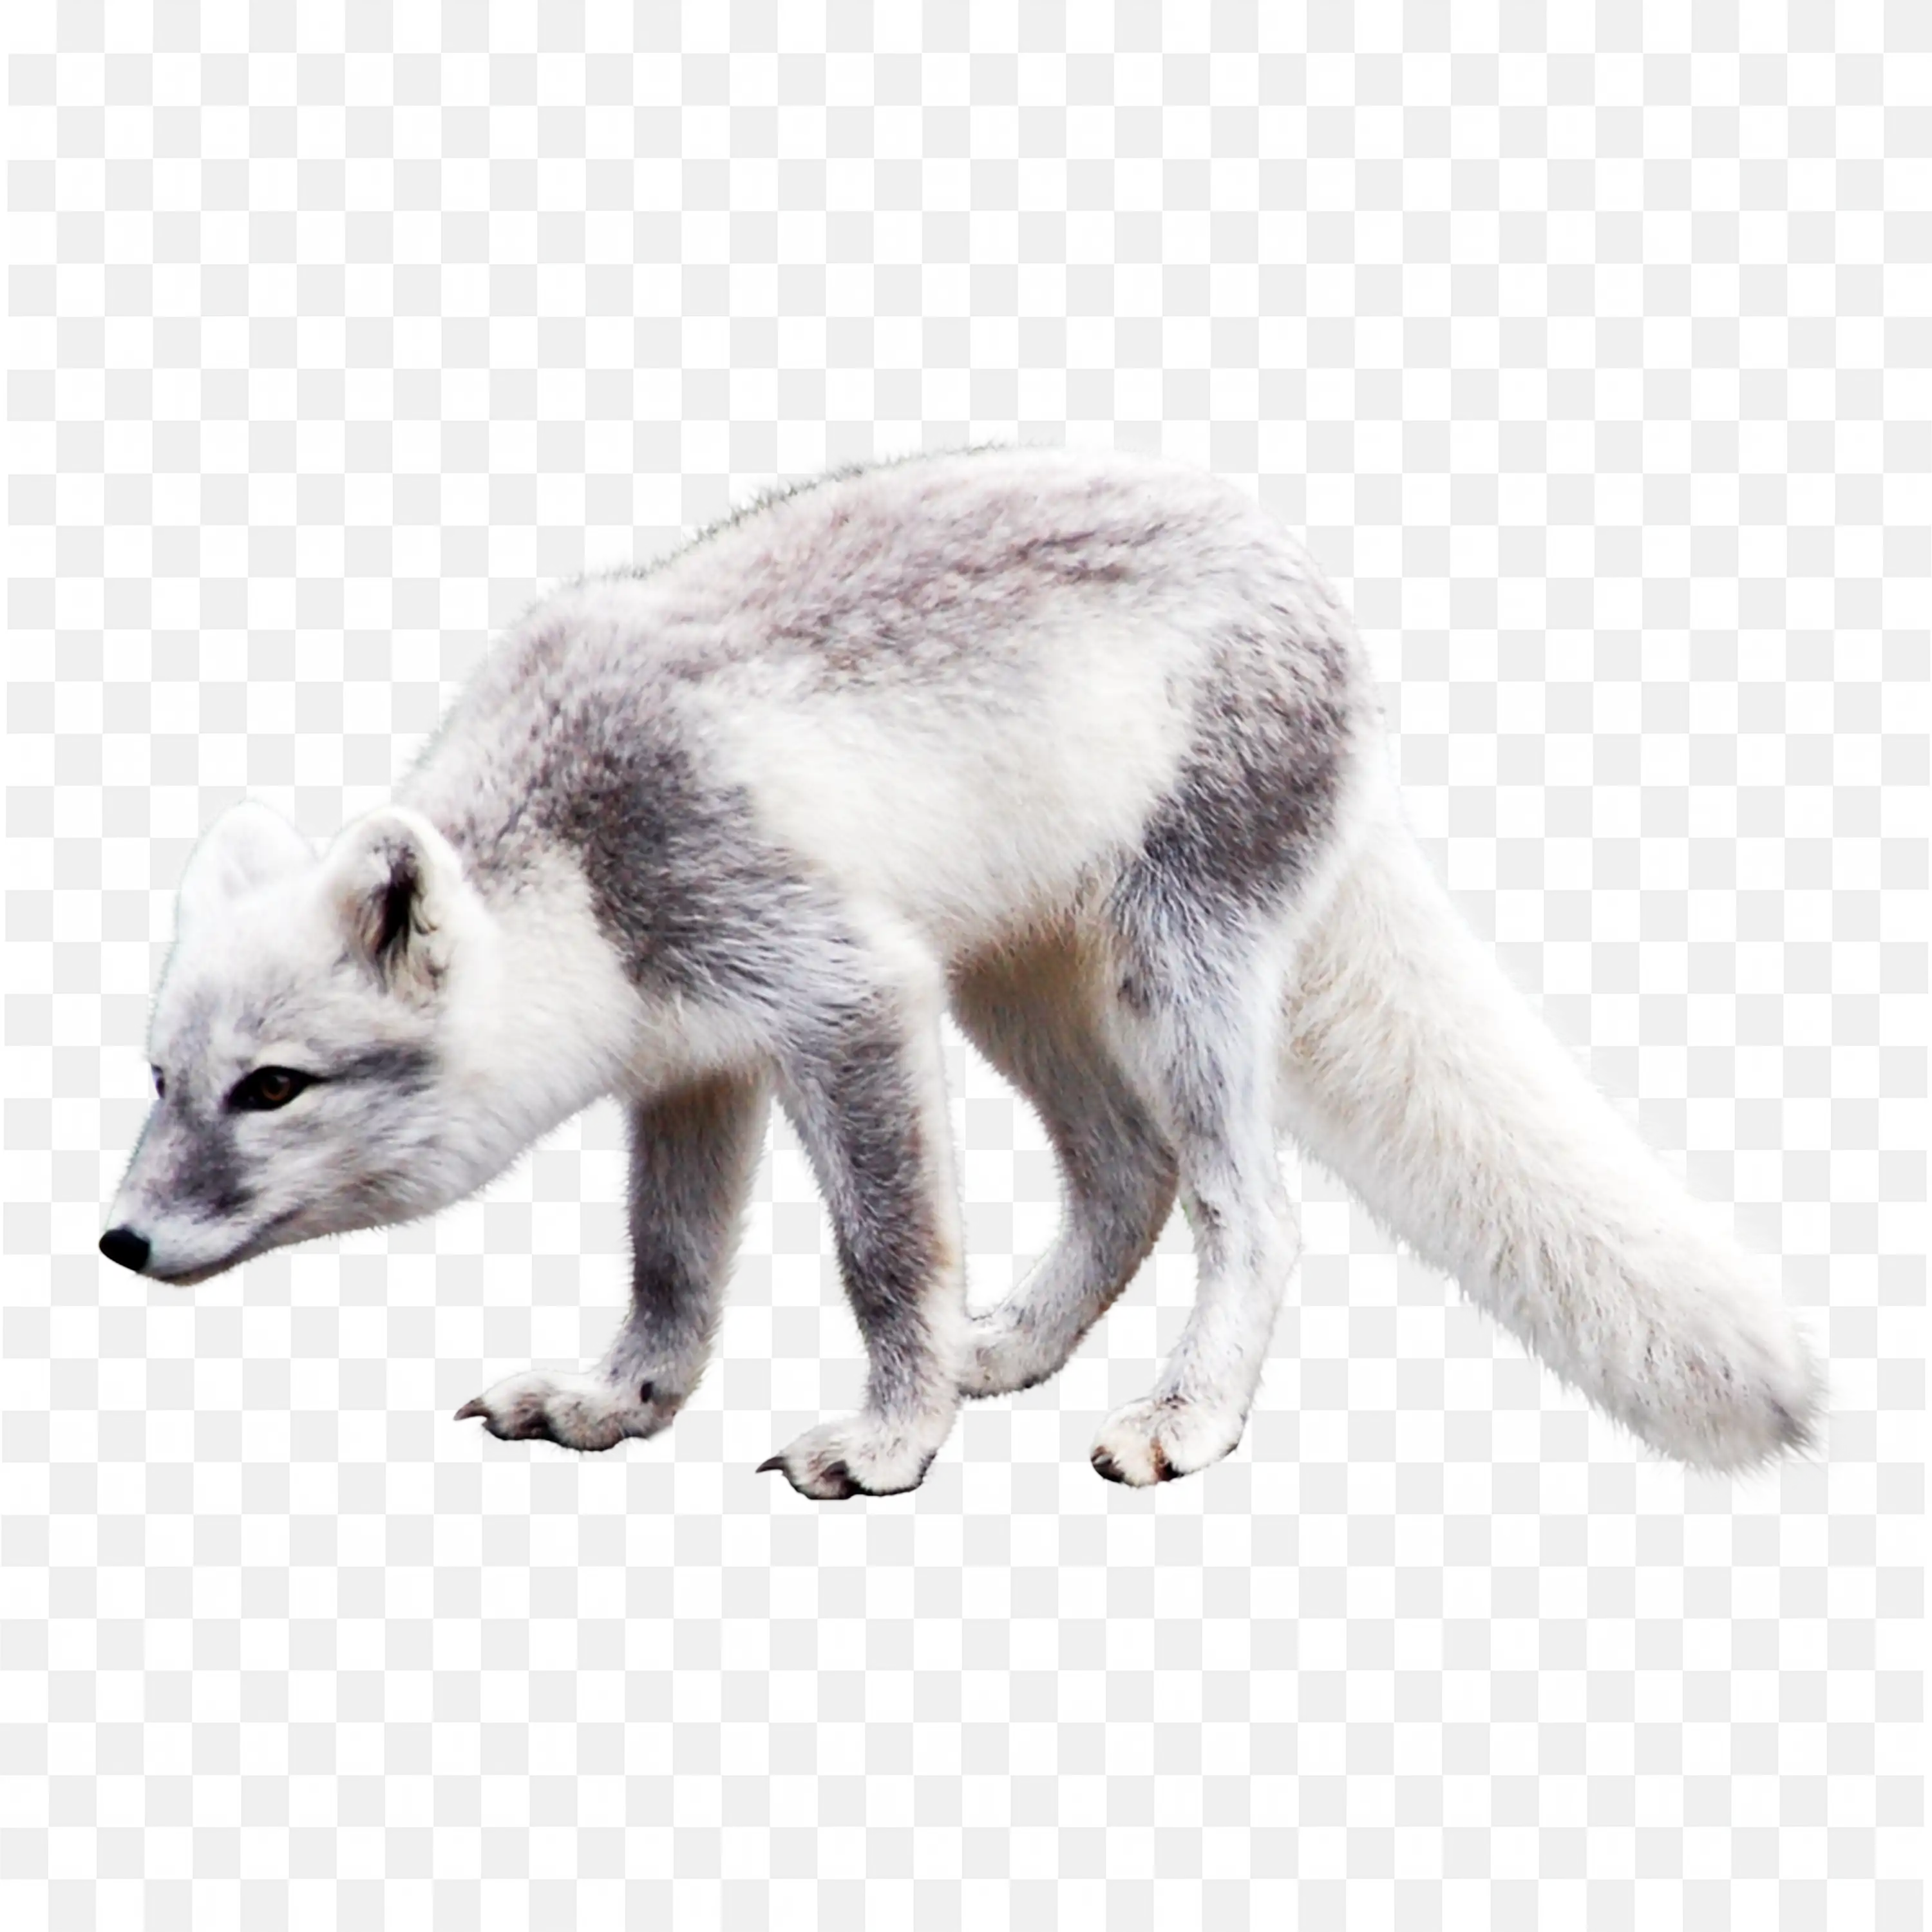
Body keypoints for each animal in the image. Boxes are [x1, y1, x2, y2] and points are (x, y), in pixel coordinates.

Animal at [98, 444, 1824, 1497]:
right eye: (161, 1080)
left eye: (274, 1089)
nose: (116, 1241)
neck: (579, 847)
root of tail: (1289, 559)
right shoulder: (695, 1060)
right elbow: (670, 1271)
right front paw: (621, 1406)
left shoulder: (841, 992)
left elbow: (883, 1253)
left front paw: (889, 1438)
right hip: (1014, 990)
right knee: (1127, 1178)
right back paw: (1023, 1352)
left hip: (1171, 982)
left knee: (1246, 1214)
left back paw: (1188, 1418)